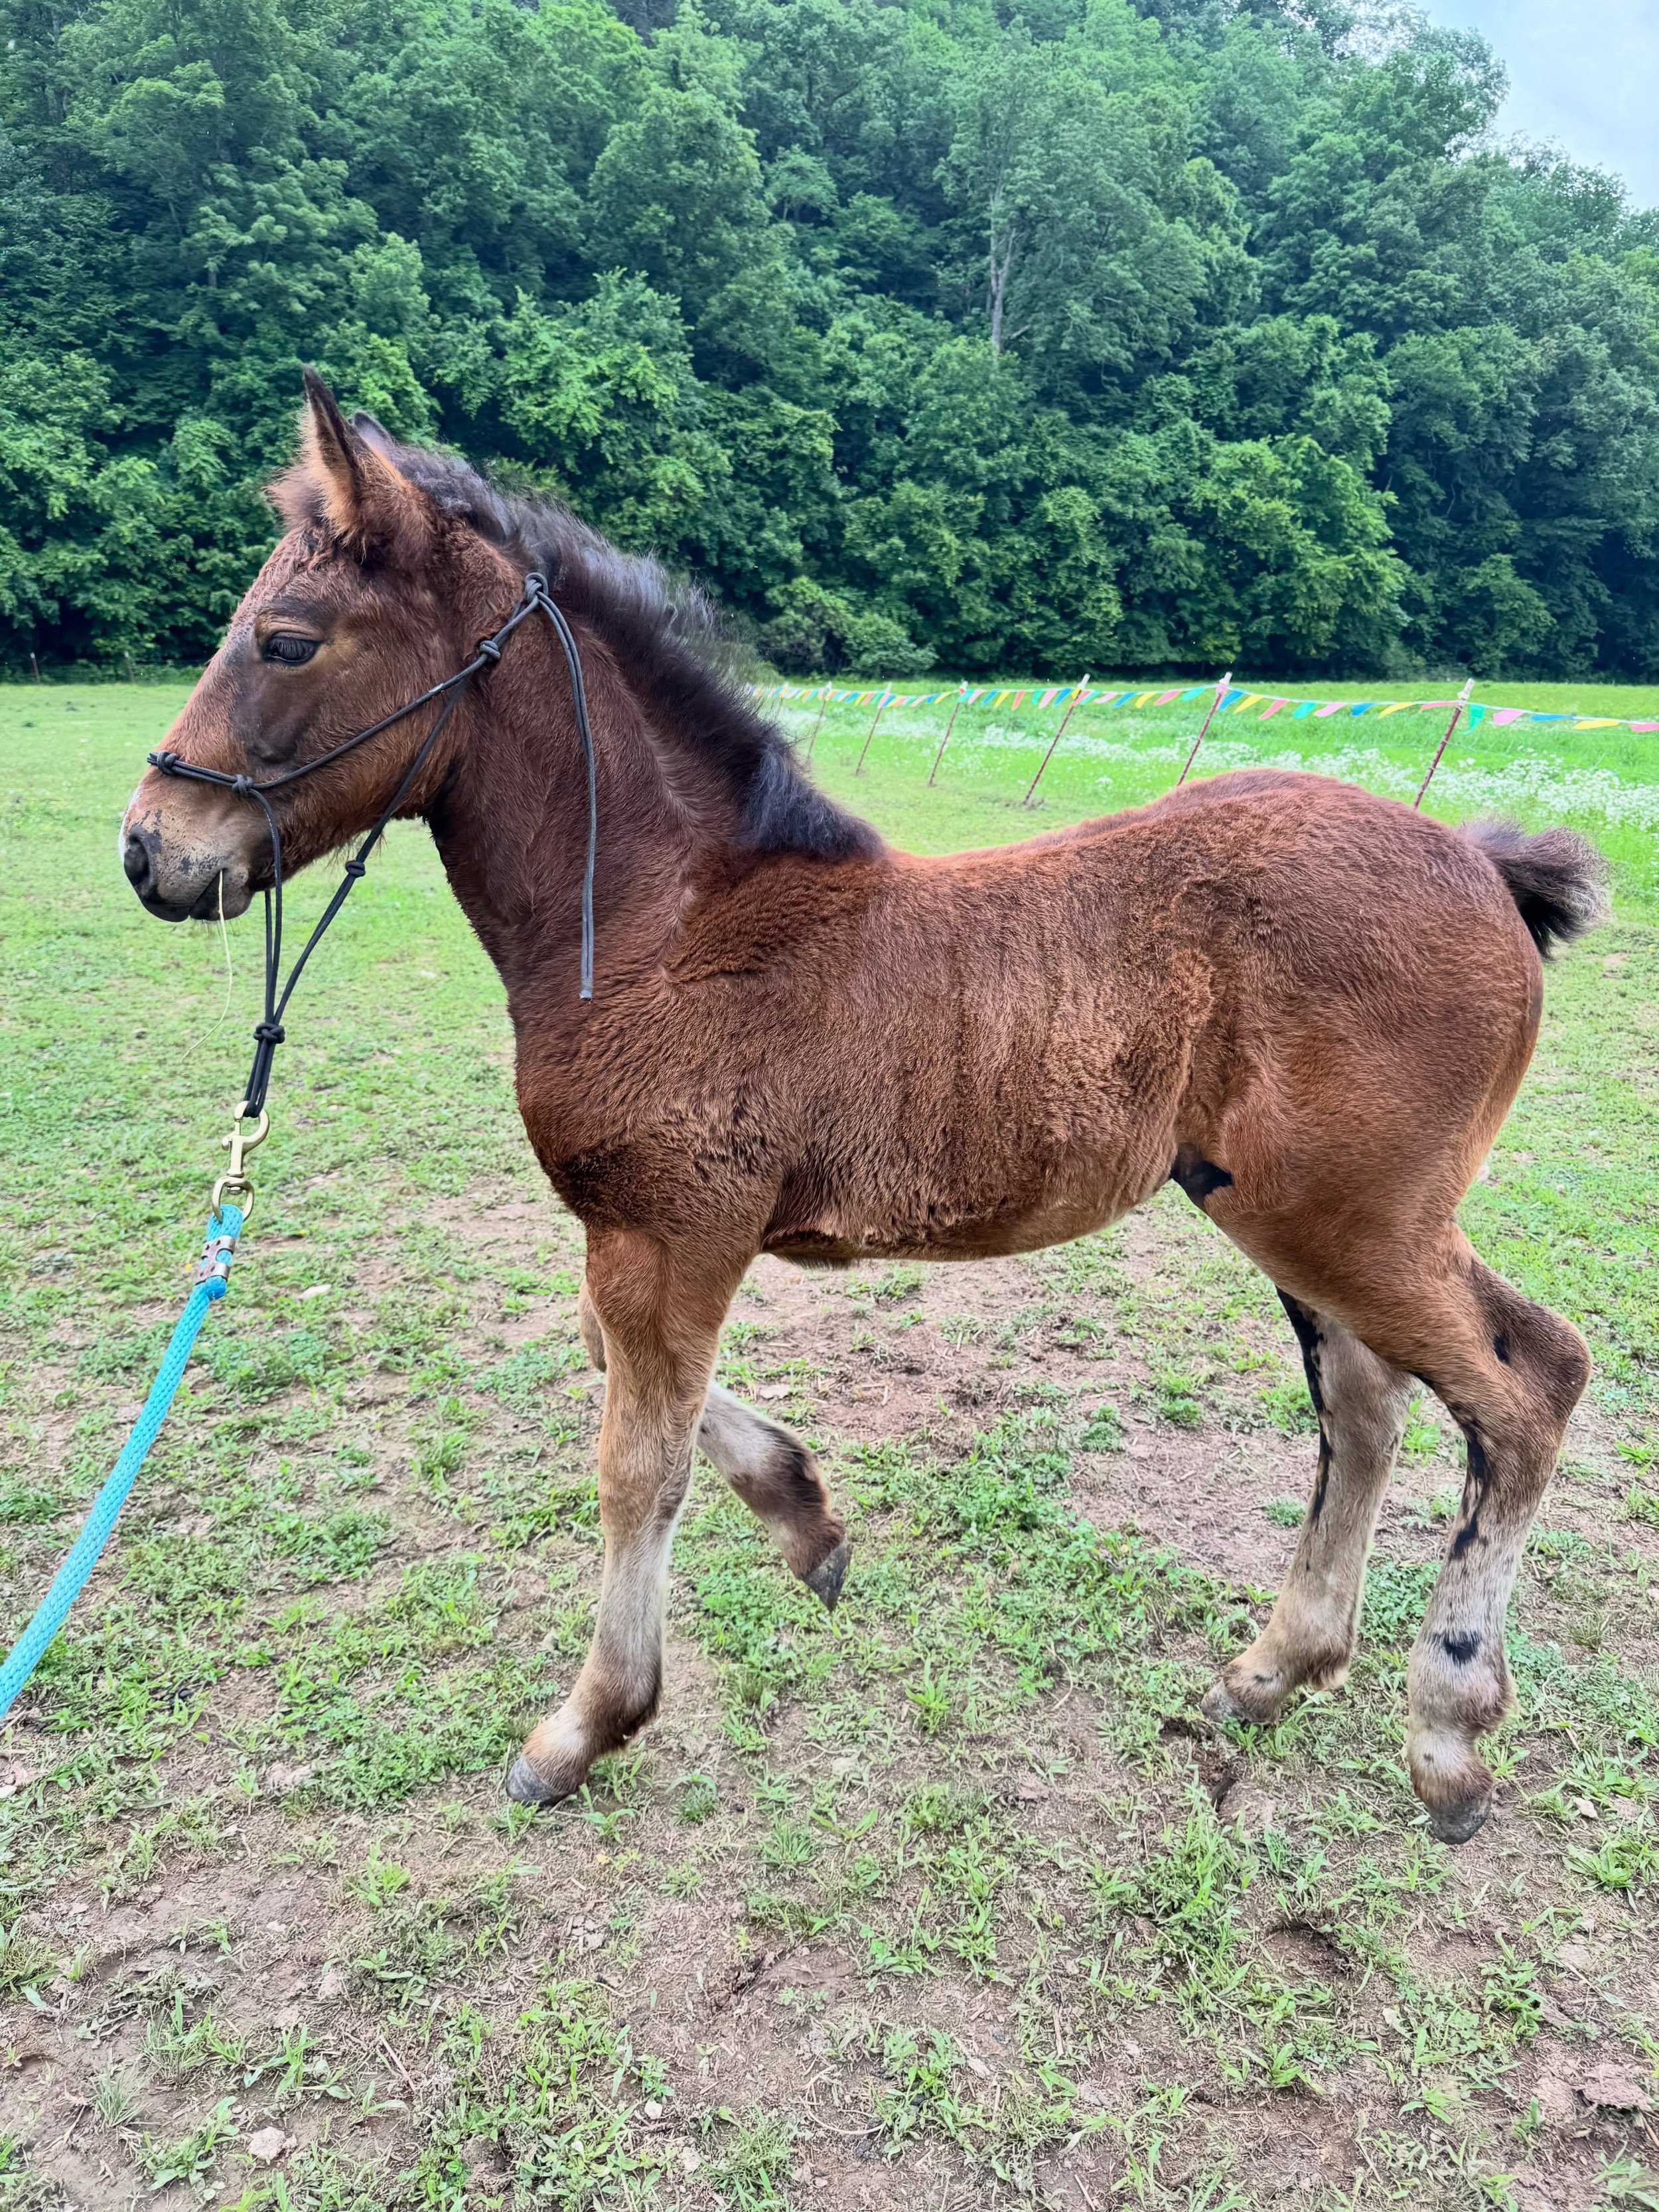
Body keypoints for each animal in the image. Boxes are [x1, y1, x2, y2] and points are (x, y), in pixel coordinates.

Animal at [120, 376, 1608, 1844]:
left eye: (288, 642)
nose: (149, 851)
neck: (665, 926)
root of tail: (1478, 860)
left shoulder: (669, 1234)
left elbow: (635, 1463)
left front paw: (584, 1725)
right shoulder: (648, 1237)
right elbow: (625, 1382)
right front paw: (809, 1523)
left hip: (1351, 1218)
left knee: (1523, 1392)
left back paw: (1447, 1734)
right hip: (1298, 1214)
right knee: (1374, 1402)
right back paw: (1271, 1671)